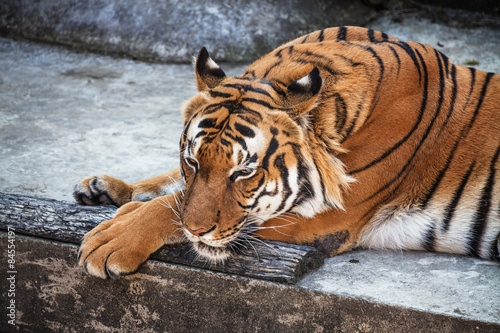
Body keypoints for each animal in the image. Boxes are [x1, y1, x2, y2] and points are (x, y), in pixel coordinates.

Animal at [74, 26, 500, 278]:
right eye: (192, 160)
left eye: (243, 173)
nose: (196, 231)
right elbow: (172, 186)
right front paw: (106, 188)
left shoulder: (326, 217)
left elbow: (169, 206)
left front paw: (113, 236)